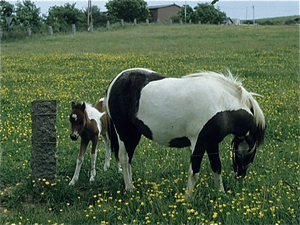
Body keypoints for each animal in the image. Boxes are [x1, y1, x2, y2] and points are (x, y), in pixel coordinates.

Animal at [104, 68, 266, 197]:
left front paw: (221, 194)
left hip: (134, 133)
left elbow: (217, 168)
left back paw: (131, 186)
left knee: (129, 159)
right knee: (124, 158)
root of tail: (116, 80)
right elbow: (194, 173)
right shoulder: (199, 142)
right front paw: (188, 199)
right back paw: (129, 189)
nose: (240, 175)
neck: (221, 104)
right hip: (123, 131)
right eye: (252, 151)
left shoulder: (212, 143)